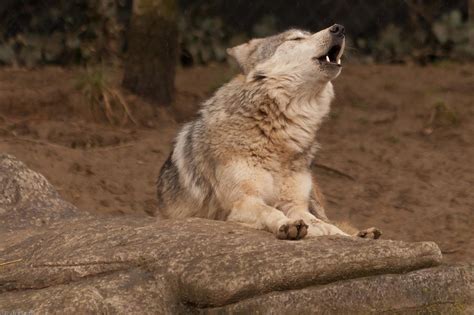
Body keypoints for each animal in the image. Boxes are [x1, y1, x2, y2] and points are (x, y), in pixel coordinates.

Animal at [156, 24, 382, 241]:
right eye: (296, 38)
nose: (339, 28)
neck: (278, 131)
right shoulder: (244, 202)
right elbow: (270, 211)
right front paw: (288, 225)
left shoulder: (295, 204)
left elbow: (321, 224)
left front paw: (334, 234)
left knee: (330, 220)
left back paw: (363, 235)